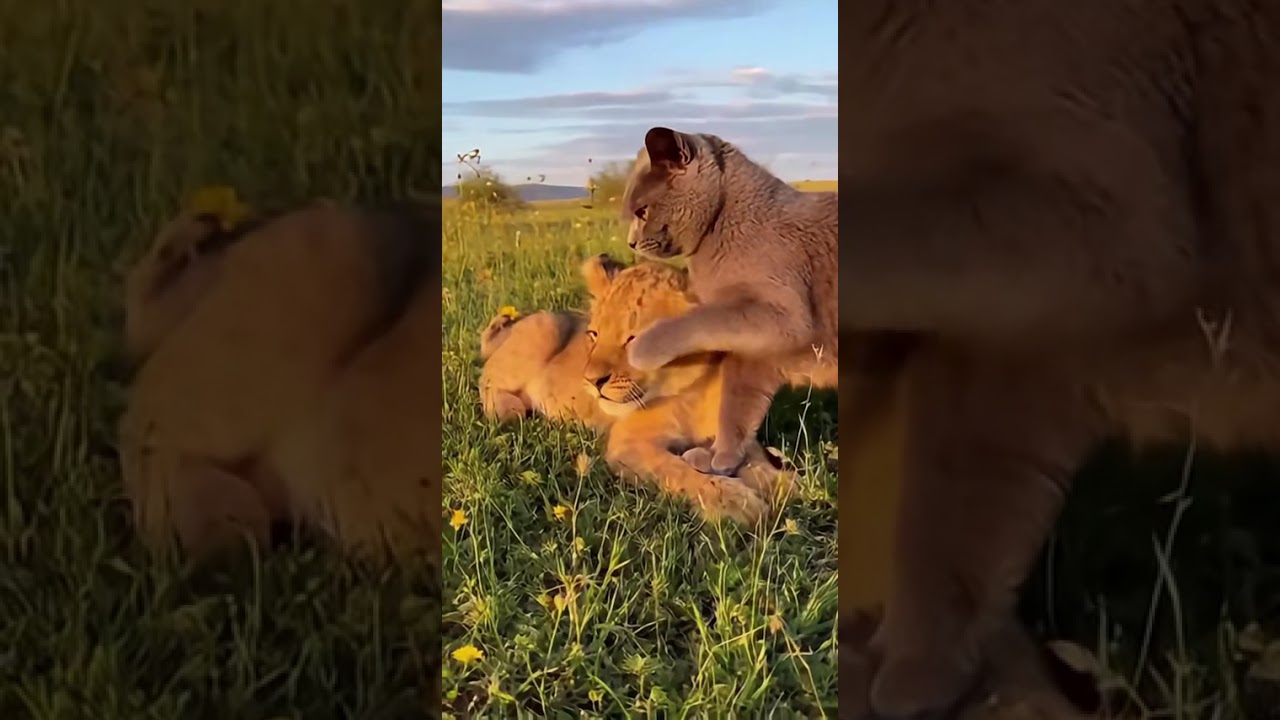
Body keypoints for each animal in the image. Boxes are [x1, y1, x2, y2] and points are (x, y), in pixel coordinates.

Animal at [478, 253, 797, 525]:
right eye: (594, 334)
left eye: (635, 339)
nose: (591, 381)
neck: (696, 390)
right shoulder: (628, 444)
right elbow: (678, 470)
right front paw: (733, 501)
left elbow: (758, 463)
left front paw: (790, 485)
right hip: (546, 326)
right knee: (486, 379)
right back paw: (509, 409)